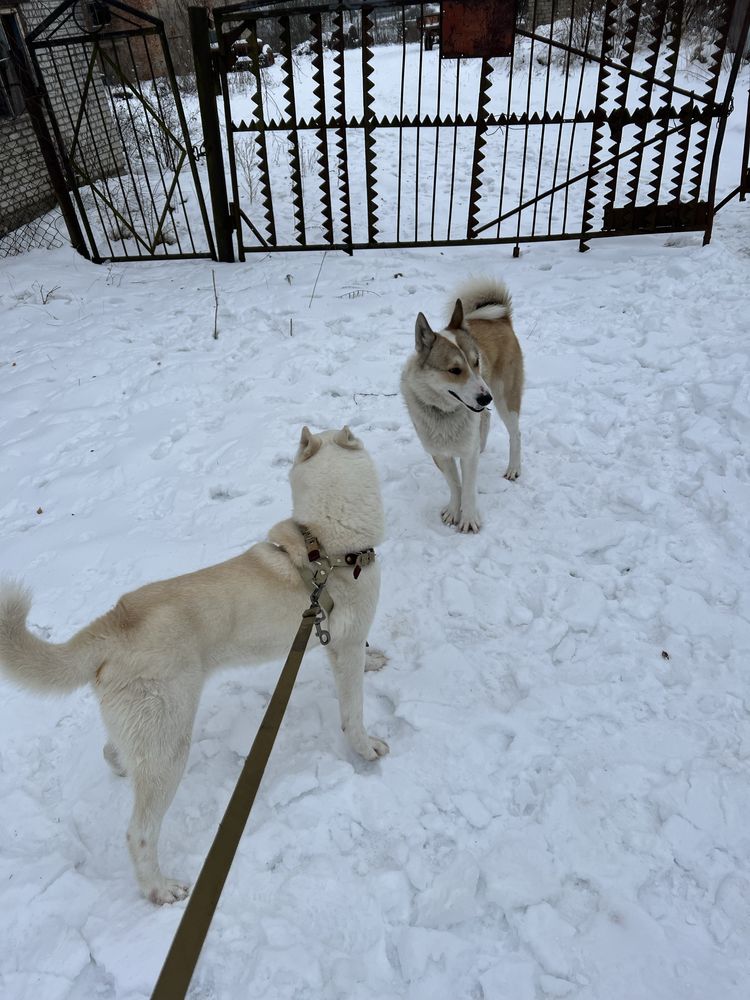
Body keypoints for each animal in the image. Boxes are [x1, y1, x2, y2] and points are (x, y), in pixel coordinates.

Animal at [0, 426, 388, 904]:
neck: (327, 547)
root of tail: (116, 620)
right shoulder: (345, 646)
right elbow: (354, 715)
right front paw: (367, 749)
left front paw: (376, 659)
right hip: (170, 746)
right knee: (139, 833)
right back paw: (160, 888)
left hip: (145, 732)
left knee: (113, 752)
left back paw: (123, 769)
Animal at [402, 278, 524, 536]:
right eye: (455, 370)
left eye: (477, 362)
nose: (485, 398)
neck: (444, 412)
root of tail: (501, 318)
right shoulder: (439, 453)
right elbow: (455, 484)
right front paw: (453, 511)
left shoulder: (467, 453)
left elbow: (468, 487)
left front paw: (468, 519)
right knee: (486, 418)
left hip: (504, 397)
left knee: (515, 433)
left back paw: (513, 468)